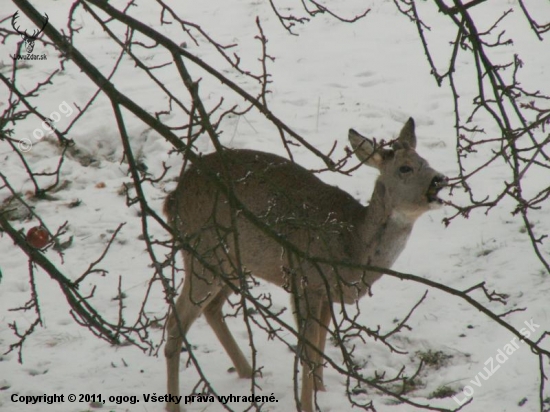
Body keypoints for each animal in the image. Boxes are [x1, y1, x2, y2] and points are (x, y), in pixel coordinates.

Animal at [165, 117, 448, 410]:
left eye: (425, 160)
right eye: (405, 167)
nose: (441, 179)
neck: (353, 246)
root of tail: (172, 198)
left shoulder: (328, 292)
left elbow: (321, 346)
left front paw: (321, 392)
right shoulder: (307, 280)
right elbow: (309, 352)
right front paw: (307, 403)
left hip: (232, 262)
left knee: (211, 309)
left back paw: (248, 372)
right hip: (203, 251)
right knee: (175, 322)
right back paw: (175, 403)